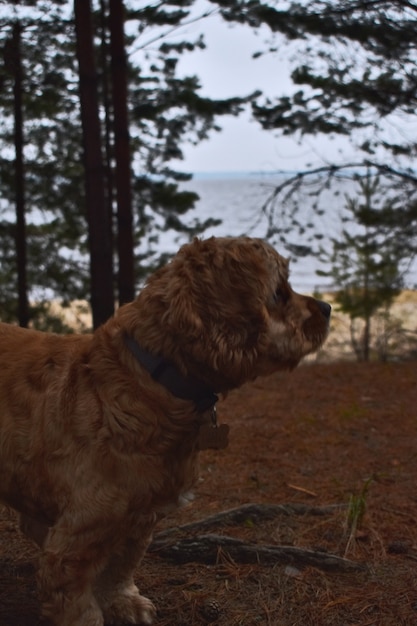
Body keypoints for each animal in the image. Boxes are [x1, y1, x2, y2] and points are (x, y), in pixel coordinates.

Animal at [0, 236, 332, 620]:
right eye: (279, 292)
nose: (328, 307)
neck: (149, 379)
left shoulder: (140, 517)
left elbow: (120, 565)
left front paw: (123, 601)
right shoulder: (75, 540)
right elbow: (81, 607)